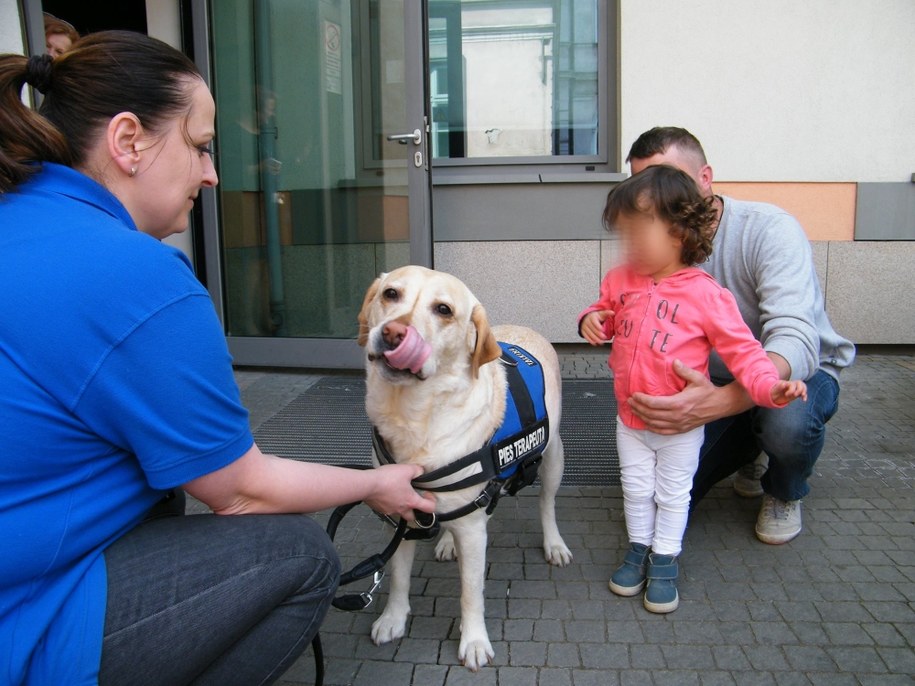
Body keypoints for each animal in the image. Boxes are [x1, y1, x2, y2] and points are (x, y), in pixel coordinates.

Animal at [358, 264, 572, 672]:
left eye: (443, 310)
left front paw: (474, 641)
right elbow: (398, 576)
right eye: (391, 294)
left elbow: (471, 591)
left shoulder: (473, 533)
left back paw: (554, 543)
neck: (414, 417)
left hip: (553, 457)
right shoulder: (400, 516)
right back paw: (445, 541)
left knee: (548, 505)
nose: (393, 333)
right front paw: (393, 618)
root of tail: (524, 328)